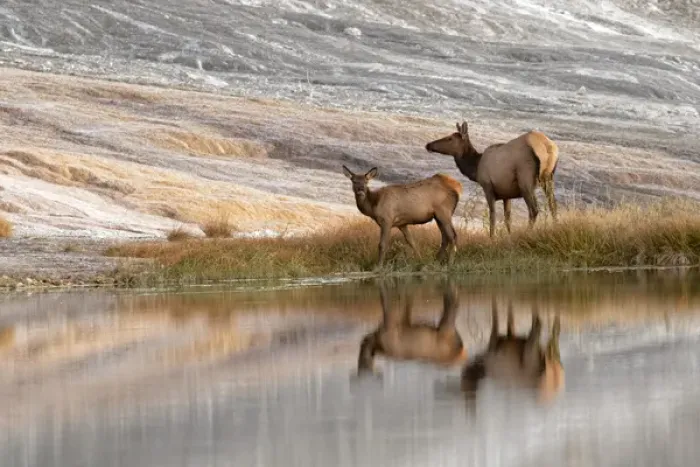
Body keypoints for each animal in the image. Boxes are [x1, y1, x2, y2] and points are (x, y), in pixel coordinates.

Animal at [425, 121, 559, 238]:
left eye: (449, 138)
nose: (428, 145)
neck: (475, 168)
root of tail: (548, 147)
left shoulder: (487, 186)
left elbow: (492, 215)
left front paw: (492, 237)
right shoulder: (506, 194)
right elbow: (507, 218)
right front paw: (509, 236)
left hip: (525, 179)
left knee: (534, 209)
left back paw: (527, 233)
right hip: (548, 177)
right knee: (553, 204)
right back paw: (554, 226)